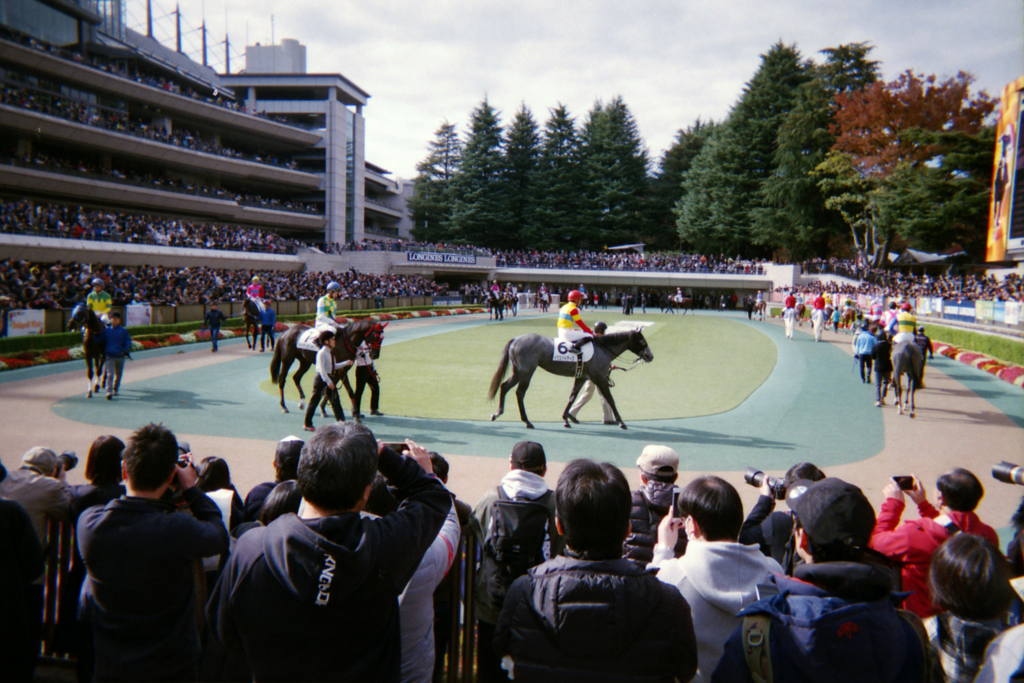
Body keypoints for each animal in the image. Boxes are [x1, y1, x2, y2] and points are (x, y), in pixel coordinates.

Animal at [489, 327, 655, 430]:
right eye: (642, 342)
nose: (650, 356)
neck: (602, 349)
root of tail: (516, 339)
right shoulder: (600, 379)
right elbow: (610, 399)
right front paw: (621, 422)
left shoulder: (582, 377)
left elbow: (572, 397)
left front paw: (566, 419)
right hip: (527, 372)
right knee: (520, 393)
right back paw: (527, 421)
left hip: (517, 371)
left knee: (504, 386)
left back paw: (497, 413)